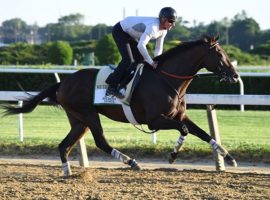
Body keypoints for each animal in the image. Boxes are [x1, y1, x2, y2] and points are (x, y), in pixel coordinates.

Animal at [2, 35, 238, 176]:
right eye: (219, 53)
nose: (235, 75)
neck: (166, 78)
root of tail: (64, 82)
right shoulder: (155, 121)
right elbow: (185, 130)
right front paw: (172, 155)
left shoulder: (178, 115)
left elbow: (203, 133)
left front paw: (228, 157)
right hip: (88, 114)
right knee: (101, 142)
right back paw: (131, 162)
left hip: (78, 120)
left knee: (64, 145)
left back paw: (67, 172)